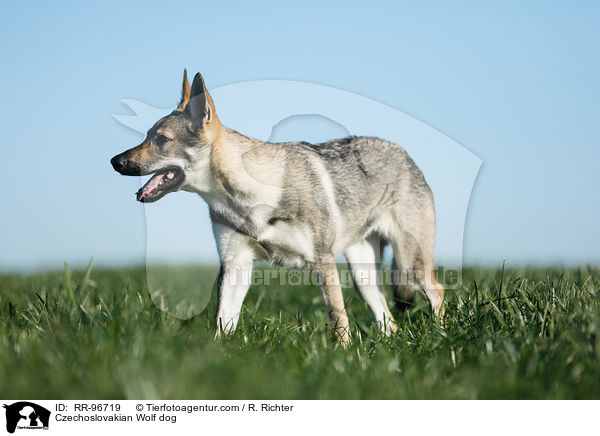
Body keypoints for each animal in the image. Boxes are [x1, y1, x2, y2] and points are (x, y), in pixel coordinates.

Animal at [110, 70, 442, 344]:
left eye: (161, 139)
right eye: (146, 136)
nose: (114, 161)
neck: (249, 197)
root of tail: (404, 154)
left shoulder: (322, 261)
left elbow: (338, 317)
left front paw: (345, 355)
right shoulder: (235, 265)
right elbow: (223, 322)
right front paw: (216, 355)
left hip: (410, 265)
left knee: (436, 295)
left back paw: (441, 337)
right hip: (364, 275)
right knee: (387, 316)